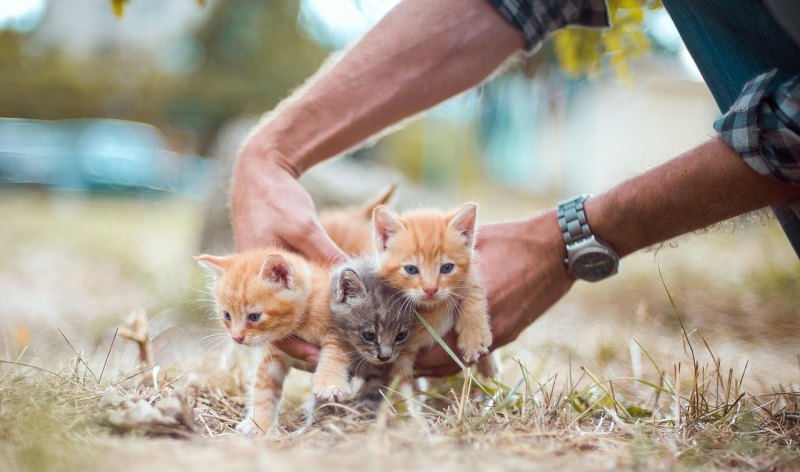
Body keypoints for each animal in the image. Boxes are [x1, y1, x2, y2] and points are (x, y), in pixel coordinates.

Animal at [195, 251, 348, 436]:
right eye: (227, 315)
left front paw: (330, 383)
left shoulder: (345, 328)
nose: (237, 338)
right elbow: (263, 389)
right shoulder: (273, 354)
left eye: (254, 316)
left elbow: (335, 351)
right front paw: (259, 423)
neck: (300, 324)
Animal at [372, 203, 490, 366]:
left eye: (447, 268)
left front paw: (474, 337)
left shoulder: (470, 278)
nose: (430, 289)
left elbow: (474, 293)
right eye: (411, 269)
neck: (432, 310)